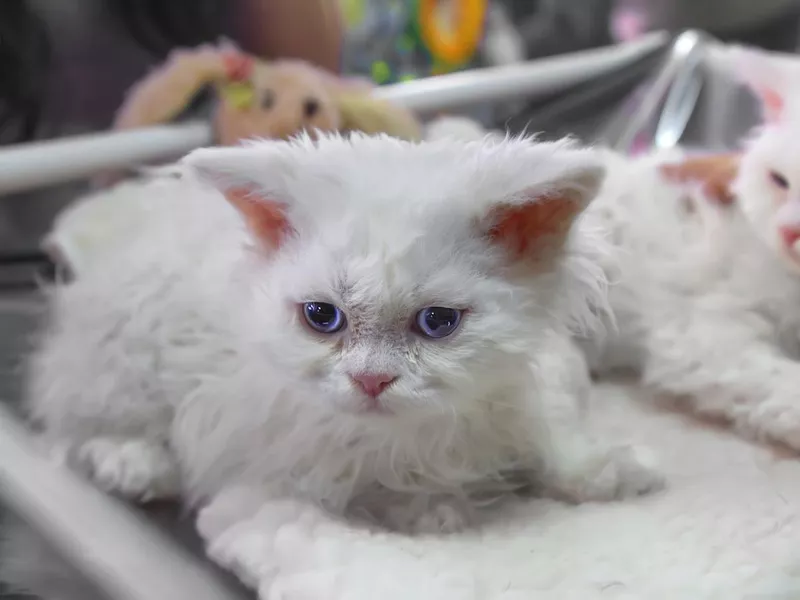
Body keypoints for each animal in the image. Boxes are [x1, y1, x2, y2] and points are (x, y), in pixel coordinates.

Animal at [20, 134, 664, 548]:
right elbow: (373, 486)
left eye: (437, 323)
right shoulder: (277, 450)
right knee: (76, 421)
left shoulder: (531, 385)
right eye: (321, 317)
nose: (371, 381)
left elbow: (553, 439)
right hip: (124, 357)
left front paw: (606, 470)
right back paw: (133, 463)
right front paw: (437, 509)